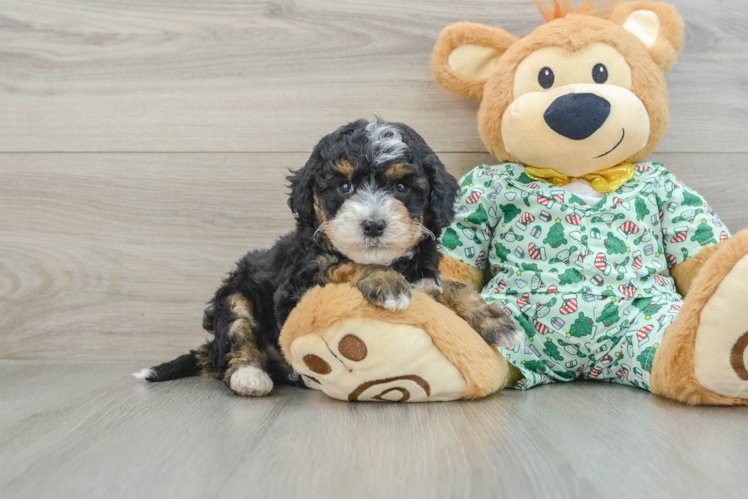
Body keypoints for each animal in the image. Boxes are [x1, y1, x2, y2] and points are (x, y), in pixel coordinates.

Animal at [133, 119, 520, 396]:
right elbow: (349, 261)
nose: (373, 225)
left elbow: (451, 288)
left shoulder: (424, 278)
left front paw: (494, 320)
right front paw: (385, 281)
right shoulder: (299, 281)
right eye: (344, 186)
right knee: (237, 335)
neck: (396, 262)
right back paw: (250, 376)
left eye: (401, 187)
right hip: (234, 298)